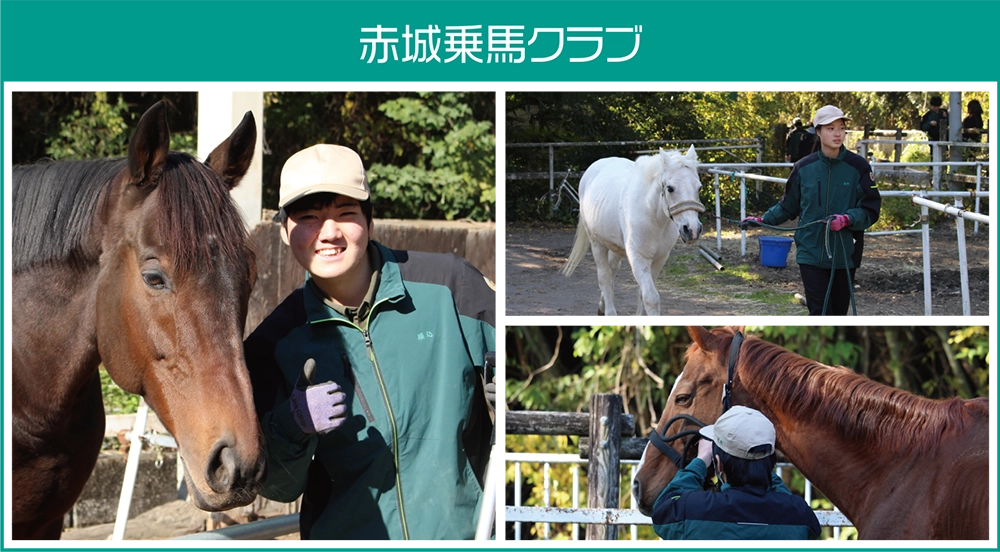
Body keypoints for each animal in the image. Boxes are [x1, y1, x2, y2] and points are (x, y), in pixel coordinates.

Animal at [561, 146, 704, 320]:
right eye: (670, 188)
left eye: (699, 187)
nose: (692, 230)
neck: (653, 216)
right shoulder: (638, 257)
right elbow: (651, 298)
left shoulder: (660, 258)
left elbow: (643, 294)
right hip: (596, 243)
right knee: (604, 276)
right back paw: (610, 313)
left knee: (612, 270)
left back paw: (602, 306)